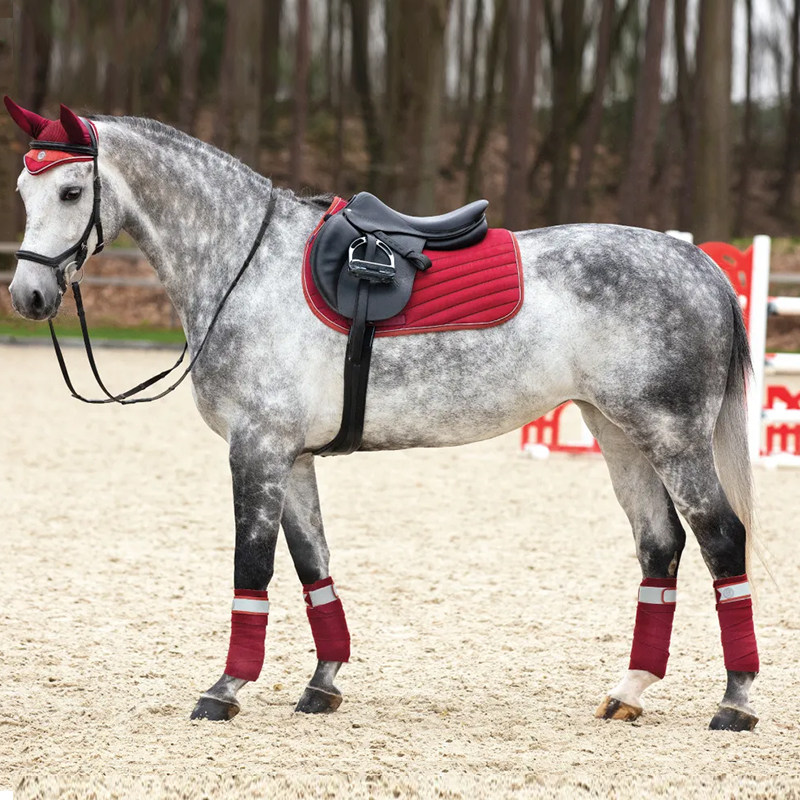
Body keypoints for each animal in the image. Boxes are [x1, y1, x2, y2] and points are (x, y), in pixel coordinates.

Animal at [5, 98, 760, 732]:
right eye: (23, 191)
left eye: (71, 191)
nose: (29, 294)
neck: (249, 267)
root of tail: (699, 264)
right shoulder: (291, 458)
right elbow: (312, 563)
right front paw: (323, 683)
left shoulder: (257, 449)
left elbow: (253, 567)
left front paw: (225, 689)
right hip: (618, 432)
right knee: (659, 546)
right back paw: (629, 690)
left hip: (671, 437)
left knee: (723, 540)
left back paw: (736, 701)